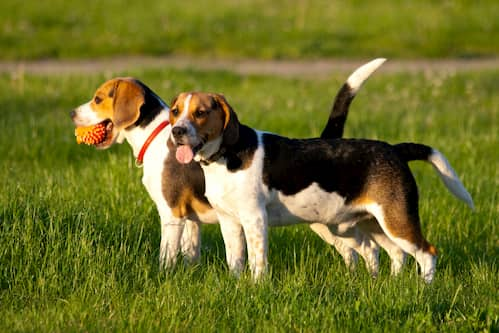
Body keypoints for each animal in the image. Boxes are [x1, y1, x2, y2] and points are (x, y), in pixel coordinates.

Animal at [170, 89, 474, 282]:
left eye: (200, 113)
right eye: (175, 111)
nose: (177, 131)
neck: (225, 155)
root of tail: (395, 150)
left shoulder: (254, 219)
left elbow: (257, 261)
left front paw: (256, 286)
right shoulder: (229, 222)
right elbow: (235, 259)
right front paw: (236, 284)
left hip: (397, 221)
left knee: (427, 253)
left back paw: (426, 288)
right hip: (369, 224)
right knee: (395, 253)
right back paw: (389, 285)